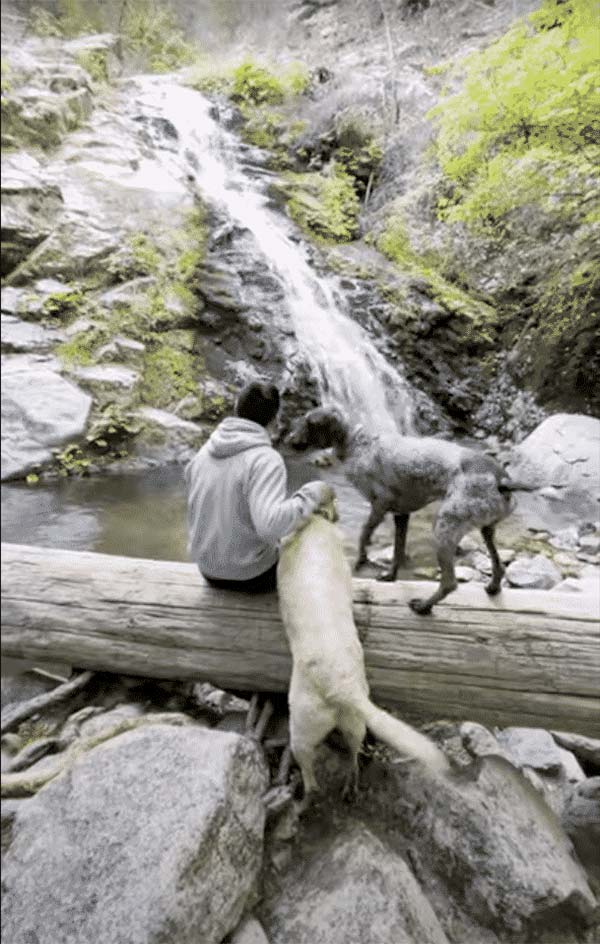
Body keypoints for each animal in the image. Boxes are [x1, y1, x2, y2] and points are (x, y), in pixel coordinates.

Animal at [276, 498, 446, 800]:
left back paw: (309, 790)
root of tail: (341, 687)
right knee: (354, 753)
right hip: (356, 721)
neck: (314, 526)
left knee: (309, 768)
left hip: (302, 728)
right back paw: (350, 785)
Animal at [288, 408, 516, 616]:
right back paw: (493, 587)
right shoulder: (401, 513)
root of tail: (501, 481)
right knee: (499, 566)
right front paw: (390, 576)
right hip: (486, 529)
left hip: (444, 528)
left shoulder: (380, 505)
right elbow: (398, 551)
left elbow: (364, 535)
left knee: (449, 583)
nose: (289, 438)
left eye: (309, 422)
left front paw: (362, 559)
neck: (359, 444)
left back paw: (424, 607)